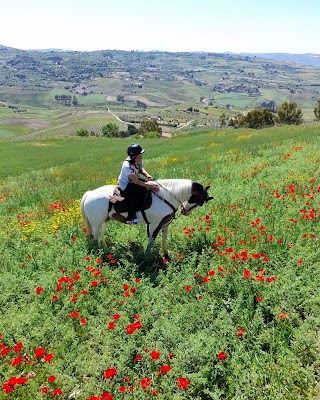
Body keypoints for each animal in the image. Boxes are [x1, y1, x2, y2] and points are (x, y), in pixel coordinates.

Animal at [80, 179, 212, 256]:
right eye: (199, 201)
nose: (184, 211)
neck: (166, 196)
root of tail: (90, 193)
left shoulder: (165, 223)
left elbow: (164, 238)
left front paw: (166, 253)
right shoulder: (155, 224)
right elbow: (151, 240)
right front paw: (146, 256)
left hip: (105, 220)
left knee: (101, 234)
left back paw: (105, 248)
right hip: (96, 223)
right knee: (96, 237)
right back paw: (99, 251)